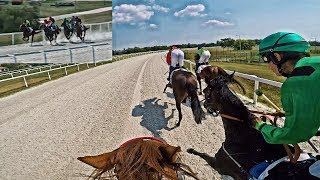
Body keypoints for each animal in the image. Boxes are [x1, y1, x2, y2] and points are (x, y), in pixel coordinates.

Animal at [186, 74, 318, 179]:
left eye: (205, 90)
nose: (205, 105)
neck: (244, 137)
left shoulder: (220, 165)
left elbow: (204, 155)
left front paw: (191, 150)